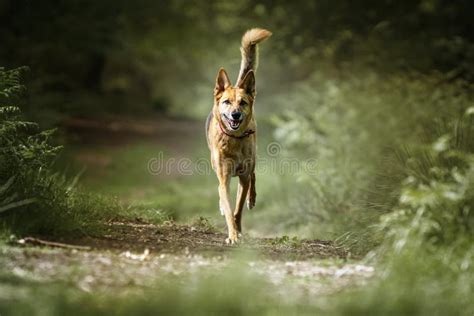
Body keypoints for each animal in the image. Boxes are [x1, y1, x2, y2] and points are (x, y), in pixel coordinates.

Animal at [204, 27, 270, 244]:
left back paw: (252, 198)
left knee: (254, 177)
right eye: (226, 102)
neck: (233, 140)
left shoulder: (243, 176)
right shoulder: (225, 178)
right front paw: (233, 234)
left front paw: (238, 230)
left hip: (253, 159)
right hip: (216, 165)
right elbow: (227, 204)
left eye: (242, 102)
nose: (235, 115)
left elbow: (238, 209)